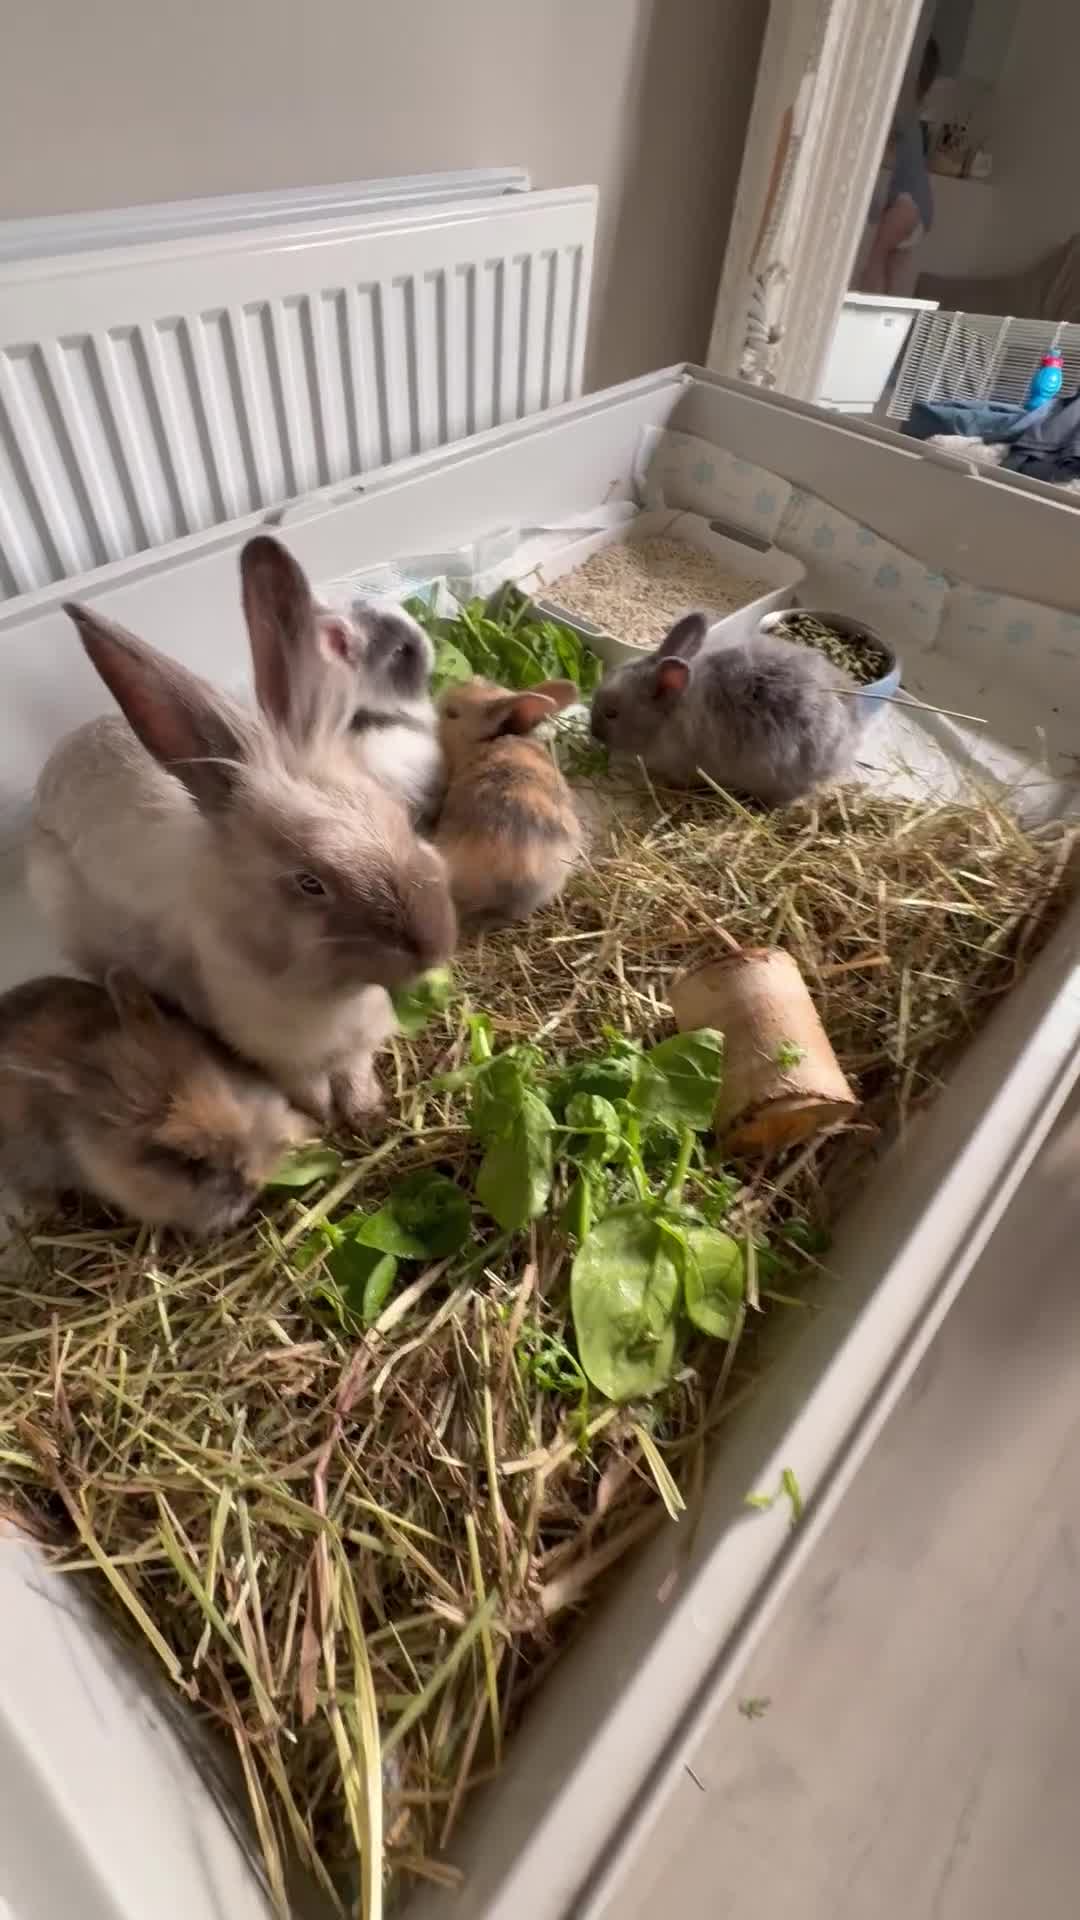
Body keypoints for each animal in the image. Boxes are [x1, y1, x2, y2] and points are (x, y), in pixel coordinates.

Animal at [27, 536, 457, 1132]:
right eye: (308, 883)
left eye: (401, 818)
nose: (436, 943)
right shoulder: (281, 1057)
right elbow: (312, 1091)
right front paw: (328, 1121)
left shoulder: (354, 1046)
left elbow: (355, 1073)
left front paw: (366, 1109)